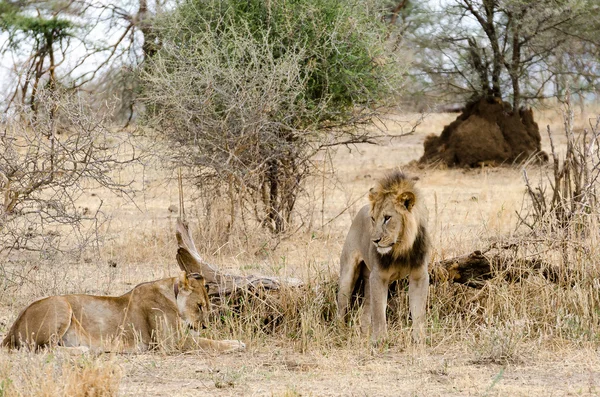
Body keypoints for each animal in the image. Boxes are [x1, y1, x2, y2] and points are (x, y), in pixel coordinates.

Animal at [2, 270, 245, 352]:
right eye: (200, 305)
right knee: (41, 350)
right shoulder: (170, 343)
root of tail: (12, 327)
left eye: (207, 306)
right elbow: (207, 343)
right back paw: (83, 350)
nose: (203, 325)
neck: (172, 295)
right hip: (62, 305)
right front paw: (236, 344)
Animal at [338, 172, 432, 342]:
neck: (401, 247)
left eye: (387, 218)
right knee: (342, 306)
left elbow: (418, 311)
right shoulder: (379, 277)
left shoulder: (419, 275)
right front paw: (380, 340)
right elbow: (378, 313)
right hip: (348, 276)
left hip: (368, 278)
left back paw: (364, 334)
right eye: (373, 219)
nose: (374, 241)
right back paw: (341, 332)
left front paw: (419, 338)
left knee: (365, 310)